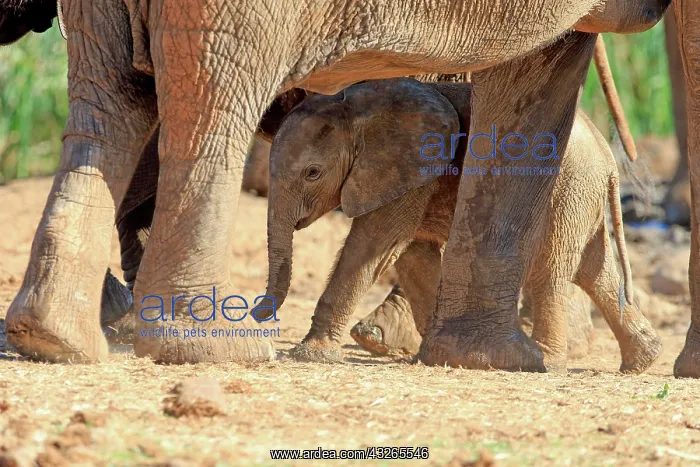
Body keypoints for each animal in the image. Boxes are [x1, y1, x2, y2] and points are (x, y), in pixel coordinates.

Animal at [262, 77, 662, 372]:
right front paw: (429, 355)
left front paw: (308, 356)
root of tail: (609, 157)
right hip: (581, 194)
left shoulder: (411, 164)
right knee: (594, 270)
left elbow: (376, 241)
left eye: (313, 173)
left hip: (566, 190)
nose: (260, 315)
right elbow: (412, 253)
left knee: (550, 266)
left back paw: (547, 361)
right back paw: (642, 361)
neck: (354, 107)